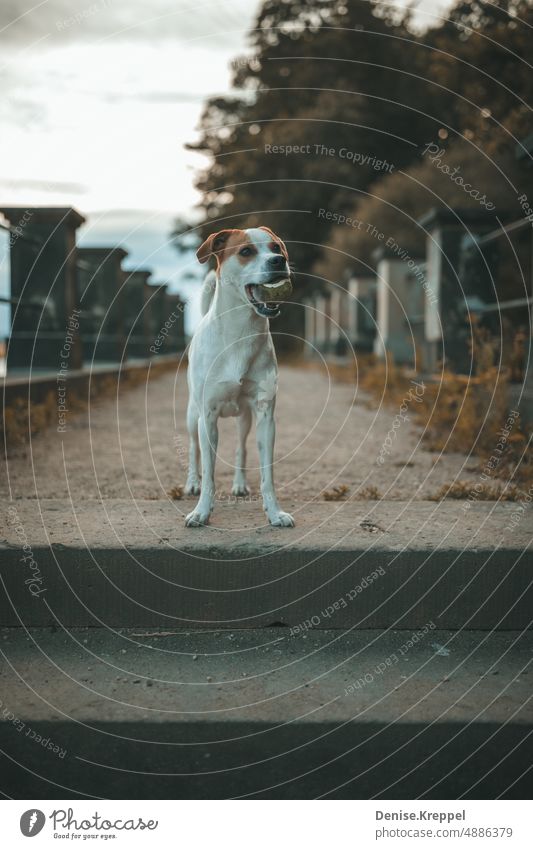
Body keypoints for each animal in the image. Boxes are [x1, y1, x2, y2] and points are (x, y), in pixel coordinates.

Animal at [182, 229, 290, 528]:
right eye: (245, 252)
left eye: (277, 248)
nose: (279, 261)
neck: (241, 333)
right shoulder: (207, 417)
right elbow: (209, 473)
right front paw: (201, 511)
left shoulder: (266, 416)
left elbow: (267, 475)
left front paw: (274, 513)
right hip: (192, 416)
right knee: (193, 449)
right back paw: (191, 483)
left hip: (245, 418)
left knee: (241, 448)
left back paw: (240, 484)